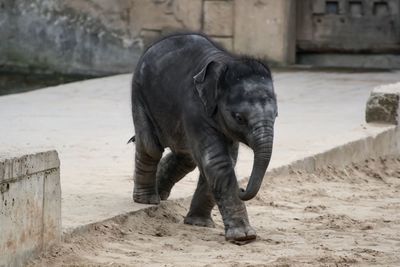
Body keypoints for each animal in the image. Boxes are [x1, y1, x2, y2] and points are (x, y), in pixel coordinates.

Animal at [131, 33, 278, 243]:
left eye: (276, 116)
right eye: (239, 118)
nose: (242, 189)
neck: (226, 64)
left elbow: (224, 160)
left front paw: (199, 224)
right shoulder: (195, 110)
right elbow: (217, 161)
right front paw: (244, 237)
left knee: (186, 158)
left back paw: (161, 193)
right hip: (140, 94)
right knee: (150, 147)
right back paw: (147, 200)